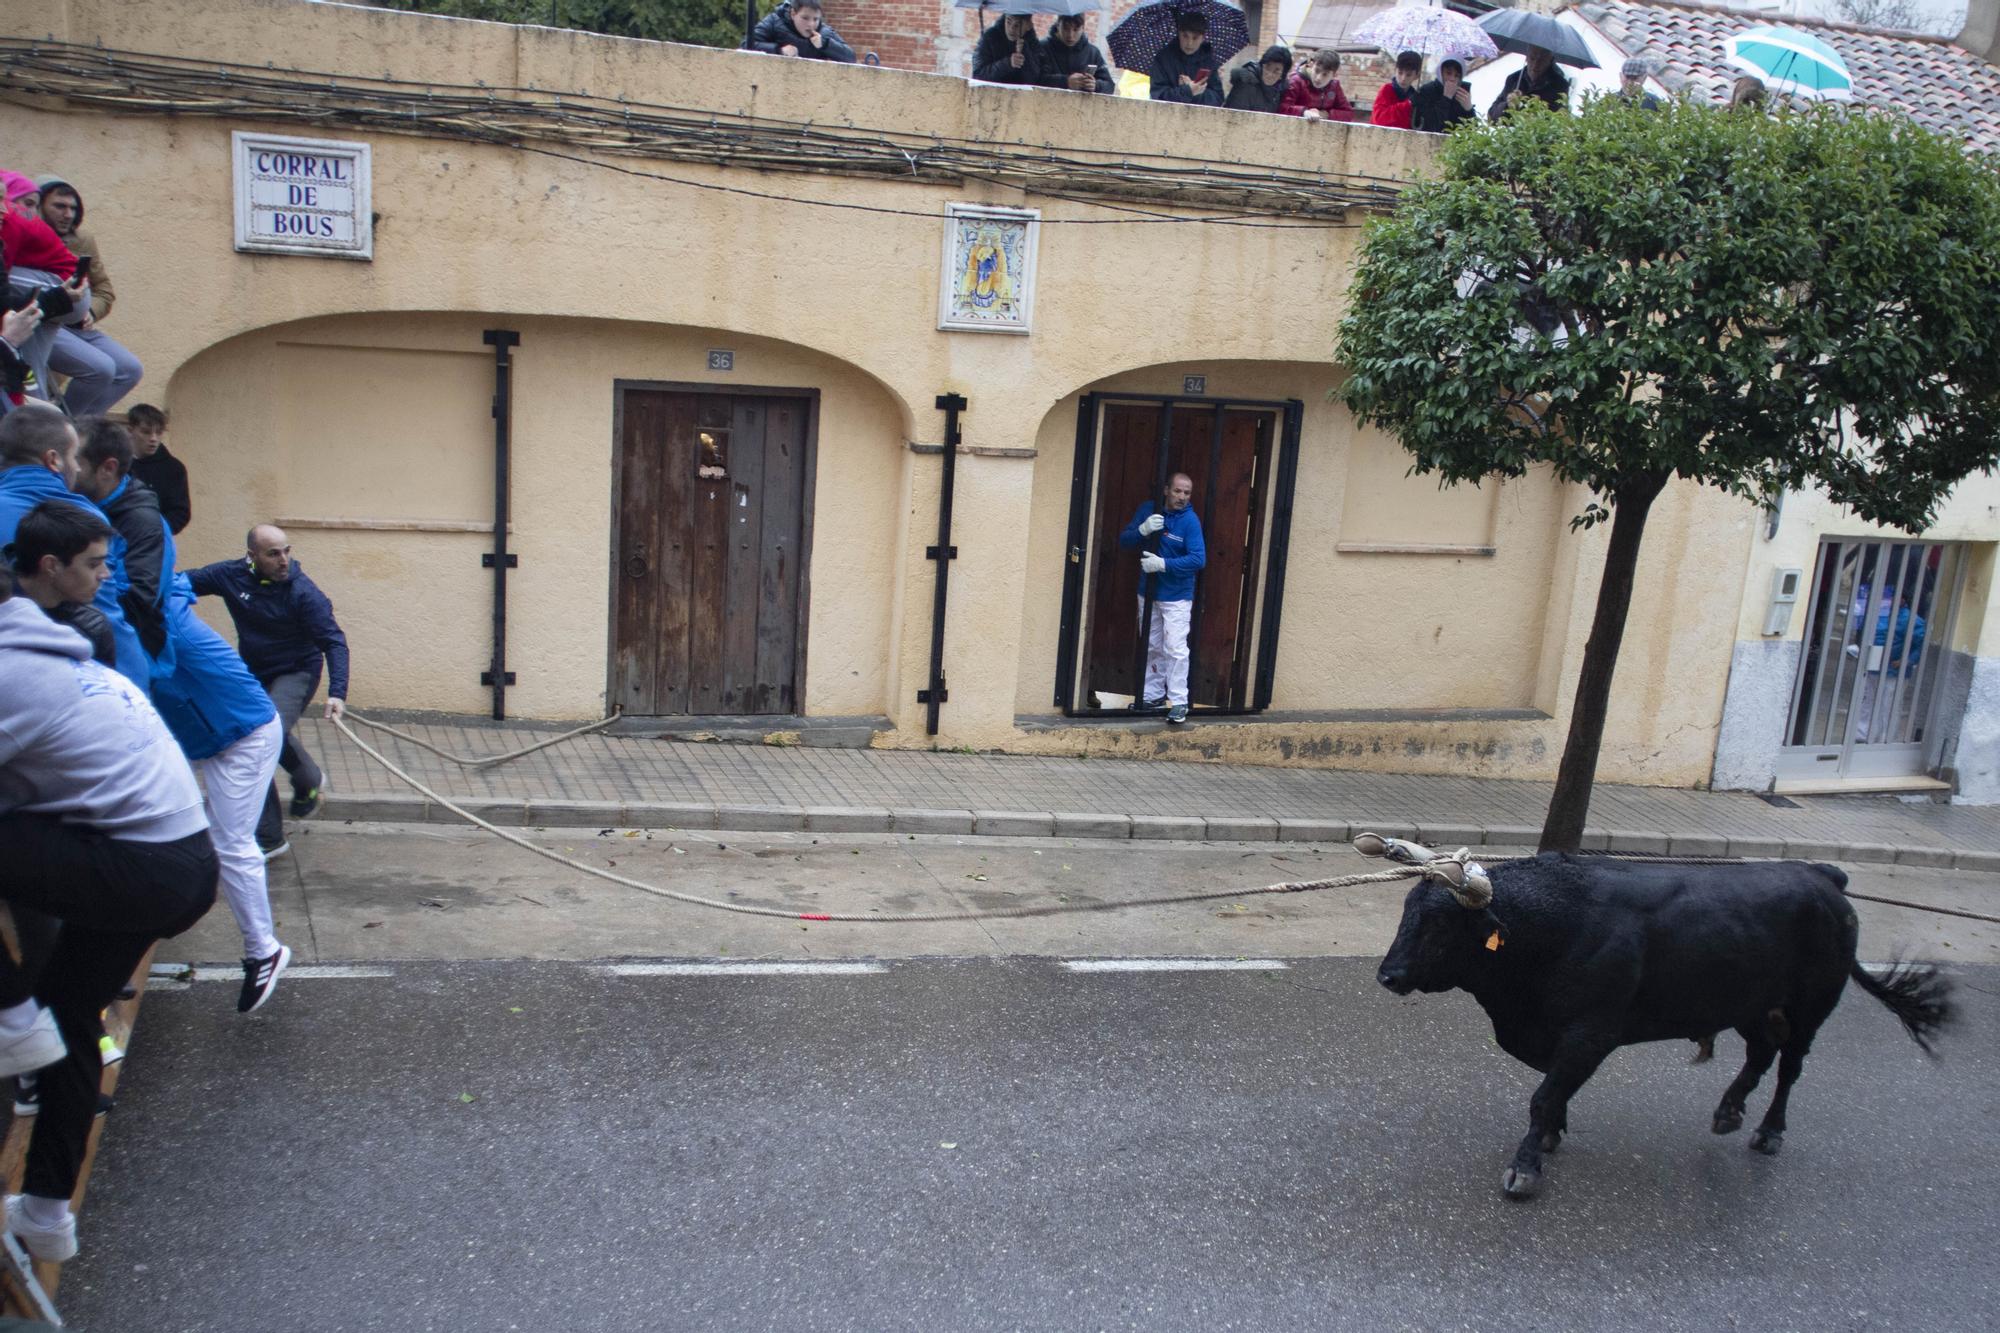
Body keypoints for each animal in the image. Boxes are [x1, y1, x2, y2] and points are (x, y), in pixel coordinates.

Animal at [1376, 852, 1952, 1192]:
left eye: (1441, 924)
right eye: (1406, 913)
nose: (1388, 973)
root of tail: (1823, 876)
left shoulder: (1592, 1033)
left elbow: (1544, 1095)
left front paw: (1526, 1164)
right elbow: (1552, 1092)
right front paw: (1552, 1133)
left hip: (1810, 1008)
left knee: (1789, 1067)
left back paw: (1768, 1131)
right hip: (1747, 1004)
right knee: (1761, 1053)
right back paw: (1728, 1111)